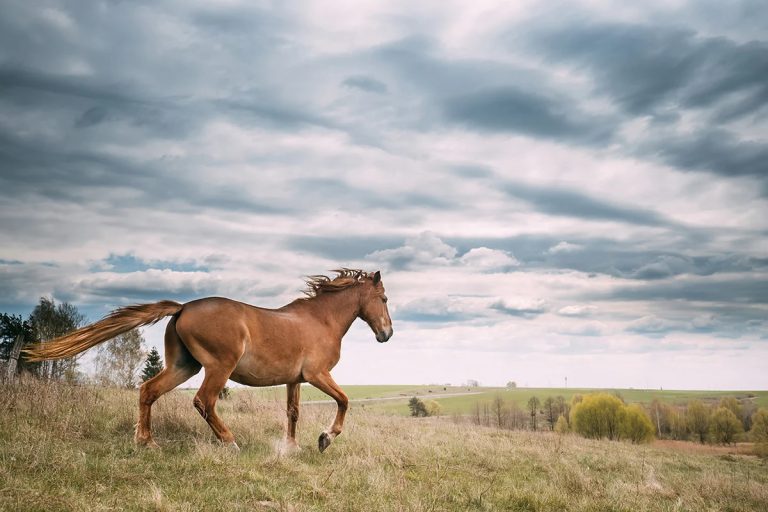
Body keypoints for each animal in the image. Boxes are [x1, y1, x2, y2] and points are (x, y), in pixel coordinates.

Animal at [24, 269, 393, 453]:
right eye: (385, 298)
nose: (386, 334)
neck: (321, 319)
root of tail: (183, 307)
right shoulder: (318, 374)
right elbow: (344, 401)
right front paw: (324, 439)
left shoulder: (295, 379)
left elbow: (293, 412)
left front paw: (290, 447)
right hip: (218, 367)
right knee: (204, 401)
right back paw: (230, 442)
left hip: (183, 366)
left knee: (148, 391)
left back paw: (146, 442)